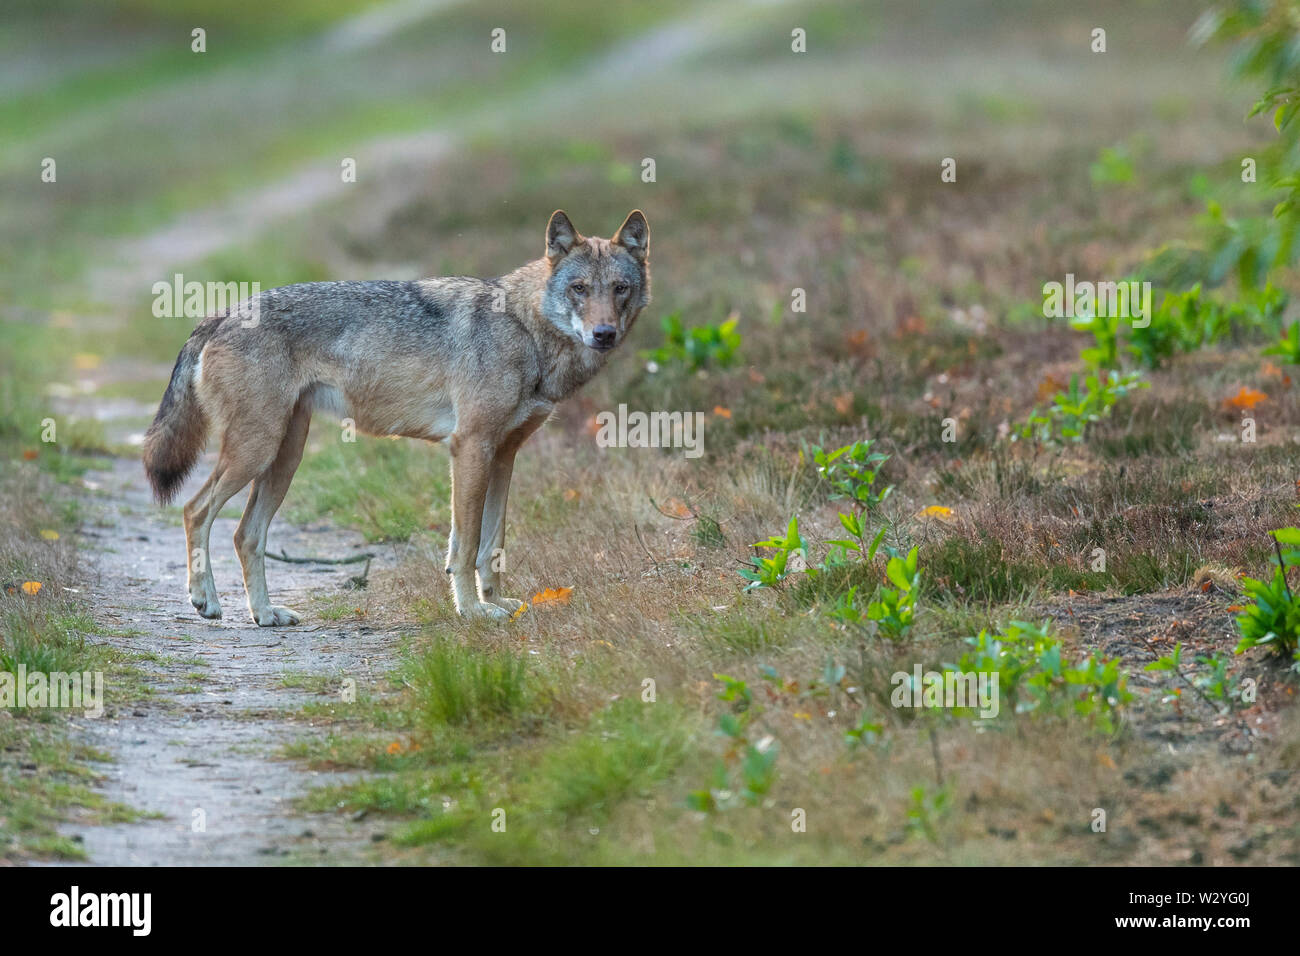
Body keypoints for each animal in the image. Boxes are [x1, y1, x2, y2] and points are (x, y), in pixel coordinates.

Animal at [142, 210, 650, 625]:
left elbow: (492, 544)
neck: (526, 331)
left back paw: (265, 614)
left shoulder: (504, 456)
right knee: (194, 510)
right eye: (579, 289)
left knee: (246, 534)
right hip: (256, 451)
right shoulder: (470, 447)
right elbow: (466, 545)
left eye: (619, 289)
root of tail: (221, 313)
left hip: (284, 458)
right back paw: (206, 601)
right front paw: (472, 611)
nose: (604, 334)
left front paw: (498, 604)